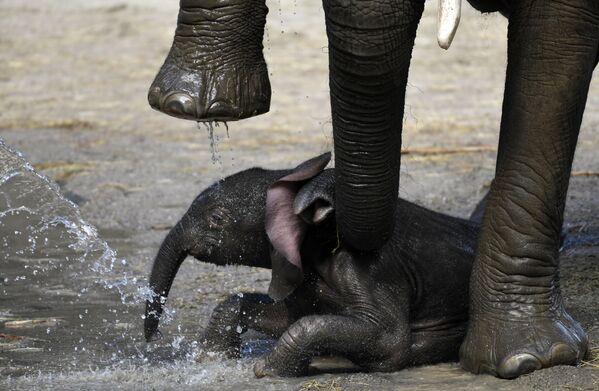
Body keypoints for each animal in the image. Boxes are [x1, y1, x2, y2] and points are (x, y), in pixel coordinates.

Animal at [148, 153, 480, 376]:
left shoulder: (369, 269)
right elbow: (286, 315)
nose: (152, 338)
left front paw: (265, 369)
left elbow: (389, 341)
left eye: (216, 218)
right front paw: (211, 358)